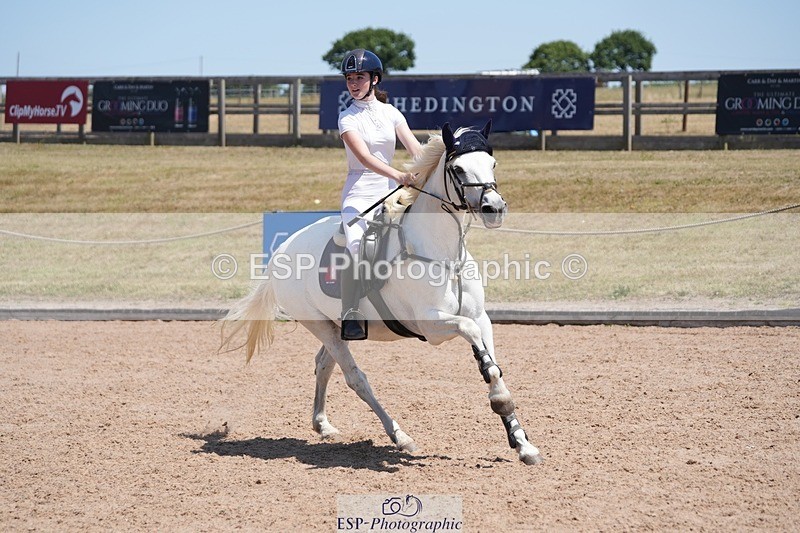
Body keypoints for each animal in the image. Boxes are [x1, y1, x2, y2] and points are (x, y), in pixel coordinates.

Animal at [220, 122, 543, 465]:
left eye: (492, 163)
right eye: (457, 168)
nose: (494, 209)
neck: (443, 253)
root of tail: (282, 248)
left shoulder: (481, 318)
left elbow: (492, 364)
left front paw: (522, 442)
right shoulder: (432, 325)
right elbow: (475, 343)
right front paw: (500, 400)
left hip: (336, 326)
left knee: (324, 365)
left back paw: (323, 425)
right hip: (319, 325)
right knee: (355, 378)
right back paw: (400, 436)